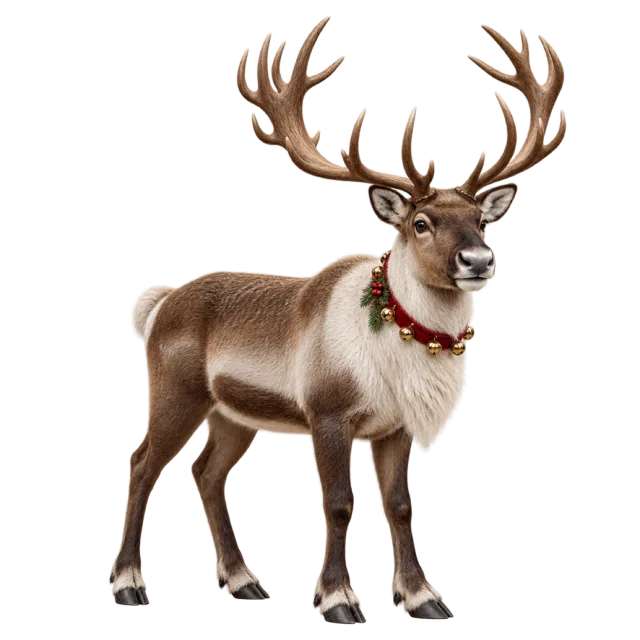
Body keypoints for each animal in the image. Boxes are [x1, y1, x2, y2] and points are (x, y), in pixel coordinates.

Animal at [115, 16, 567, 623]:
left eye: (481, 220)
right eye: (420, 223)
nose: (477, 261)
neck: (396, 353)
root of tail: (160, 303)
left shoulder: (395, 426)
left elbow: (399, 505)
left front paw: (423, 597)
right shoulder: (327, 413)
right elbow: (338, 504)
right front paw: (337, 600)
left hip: (233, 414)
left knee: (206, 472)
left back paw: (245, 583)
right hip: (176, 392)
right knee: (142, 466)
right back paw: (128, 583)